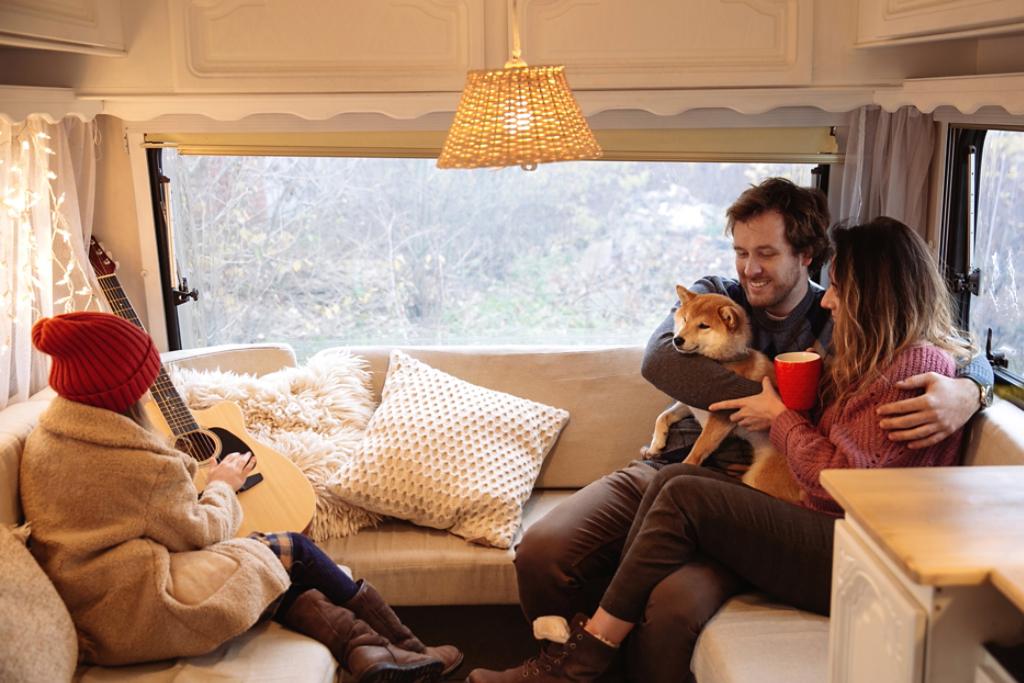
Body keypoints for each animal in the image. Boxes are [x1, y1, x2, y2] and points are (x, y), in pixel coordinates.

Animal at [647, 282, 798, 501]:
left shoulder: (720, 418)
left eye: (703, 326)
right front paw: (656, 443)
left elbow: (698, 449)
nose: (677, 340)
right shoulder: (690, 403)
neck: (720, 361)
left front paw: (682, 465)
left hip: (758, 479)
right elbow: (663, 416)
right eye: (685, 319)